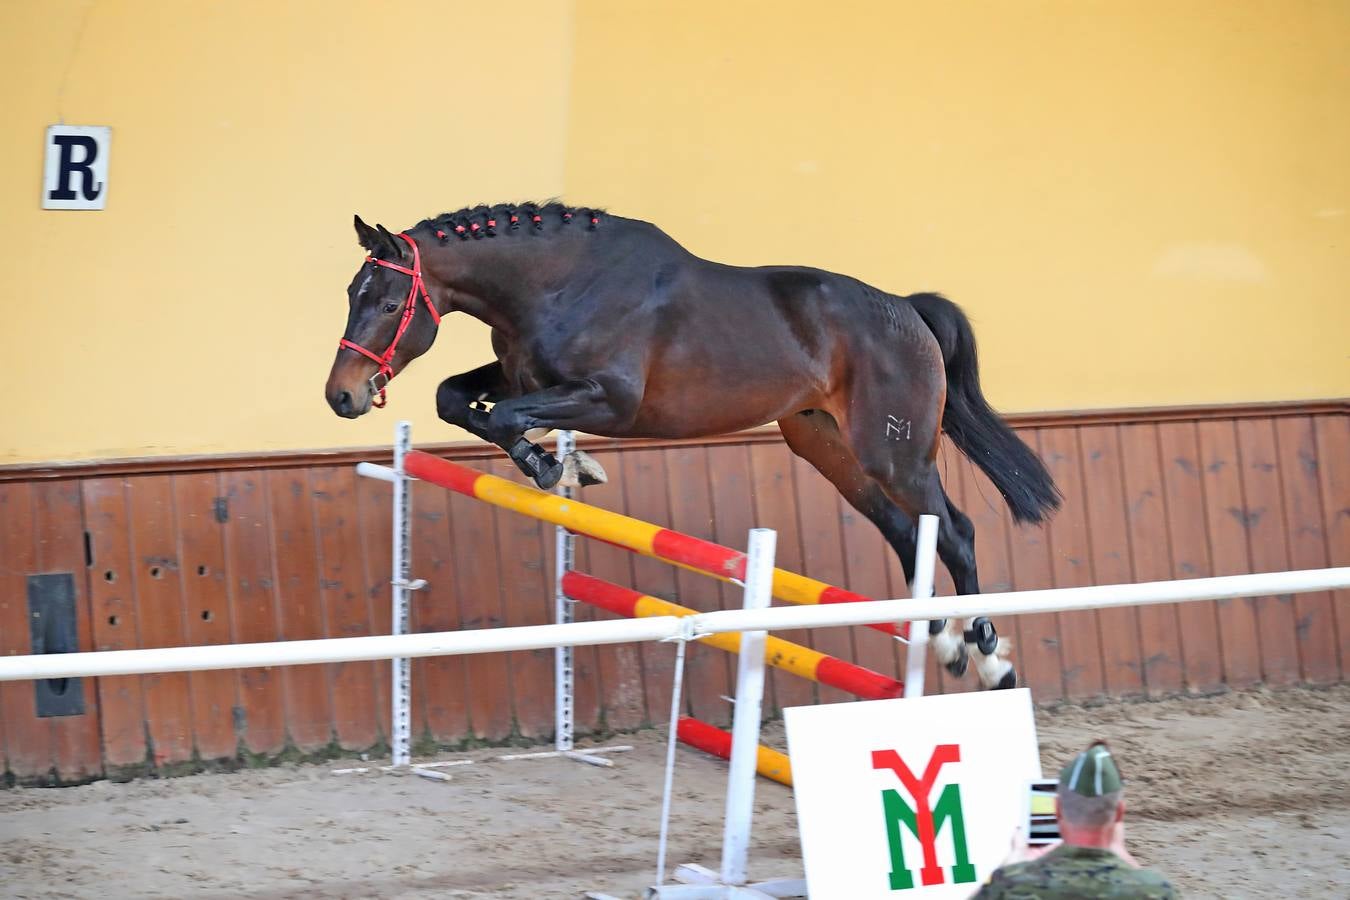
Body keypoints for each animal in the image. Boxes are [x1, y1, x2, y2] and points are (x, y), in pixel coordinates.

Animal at [321, 201, 1058, 685]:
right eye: (352, 292)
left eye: (389, 303)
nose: (342, 397)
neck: (560, 282)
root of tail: (908, 310)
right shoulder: (525, 375)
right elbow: (459, 399)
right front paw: (556, 461)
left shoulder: (608, 397)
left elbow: (504, 416)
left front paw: (555, 464)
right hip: (829, 450)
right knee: (910, 536)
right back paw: (941, 640)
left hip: (894, 455)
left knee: (954, 531)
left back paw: (983, 653)